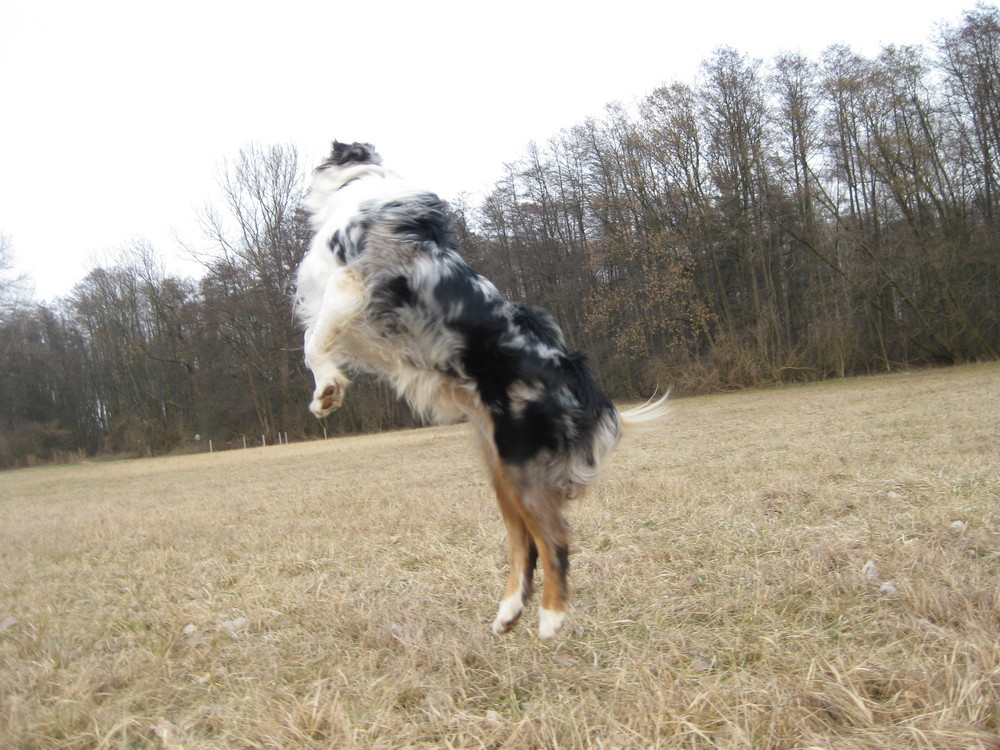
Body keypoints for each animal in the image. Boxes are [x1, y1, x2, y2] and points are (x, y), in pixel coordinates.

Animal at [296, 141, 672, 640]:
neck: (363, 184)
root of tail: (577, 376)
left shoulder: (346, 285)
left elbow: (312, 341)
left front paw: (327, 393)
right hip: (500, 469)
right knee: (524, 543)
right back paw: (510, 610)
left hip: (520, 465)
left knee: (554, 537)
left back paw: (552, 617)